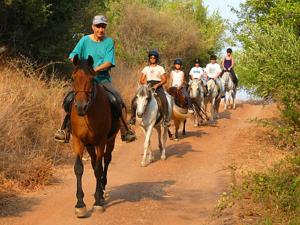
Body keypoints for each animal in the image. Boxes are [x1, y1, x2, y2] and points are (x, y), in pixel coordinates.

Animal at [71, 54, 120, 216]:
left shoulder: (101, 141)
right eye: (73, 78)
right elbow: (79, 168)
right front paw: (80, 204)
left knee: (106, 160)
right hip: (89, 145)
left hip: (110, 141)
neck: (88, 113)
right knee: (93, 163)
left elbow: (99, 168)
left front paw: (98, 201)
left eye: (92, 79)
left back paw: (102, 189)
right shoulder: (78, 141)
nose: (81, 107)